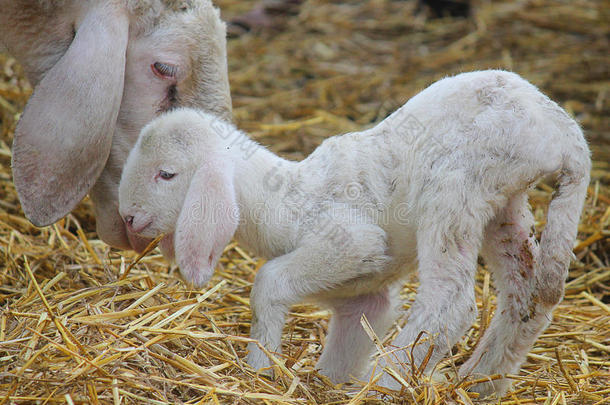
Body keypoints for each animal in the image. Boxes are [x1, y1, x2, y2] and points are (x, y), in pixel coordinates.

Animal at [116, 69, 588, 394]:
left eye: (166, 174)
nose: (129, 219)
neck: (284, 198)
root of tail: (564, 132)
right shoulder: (364, 294)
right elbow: (352, 334)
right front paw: (326, 382)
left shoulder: (350, 241)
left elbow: (268, 282)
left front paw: (261, 368)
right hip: (504, 203)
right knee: (528, 297)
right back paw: (480, 381)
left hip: (457, 188)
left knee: (451, 302)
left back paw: (386, 382)